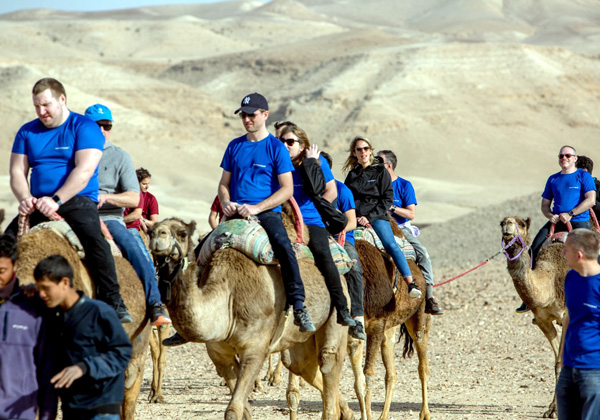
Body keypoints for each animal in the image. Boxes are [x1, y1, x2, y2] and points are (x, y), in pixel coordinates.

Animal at [150, 209, 354, 420]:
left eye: (182, 233)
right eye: (150, 231)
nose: (158, 234)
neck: (228, 296)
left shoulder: (255, 348)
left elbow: (233, 410)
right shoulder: (219, 353)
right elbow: (243, 408)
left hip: (338, 308)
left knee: (328, 359)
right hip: (297, 339)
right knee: (299, 364)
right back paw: (347, 412)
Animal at [502, 217, 568, 416]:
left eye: (522, 224)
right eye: (501, 223)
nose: (507, 223)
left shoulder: (568, 316)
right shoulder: (542, 320)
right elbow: (557, 363)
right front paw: (552, 409)